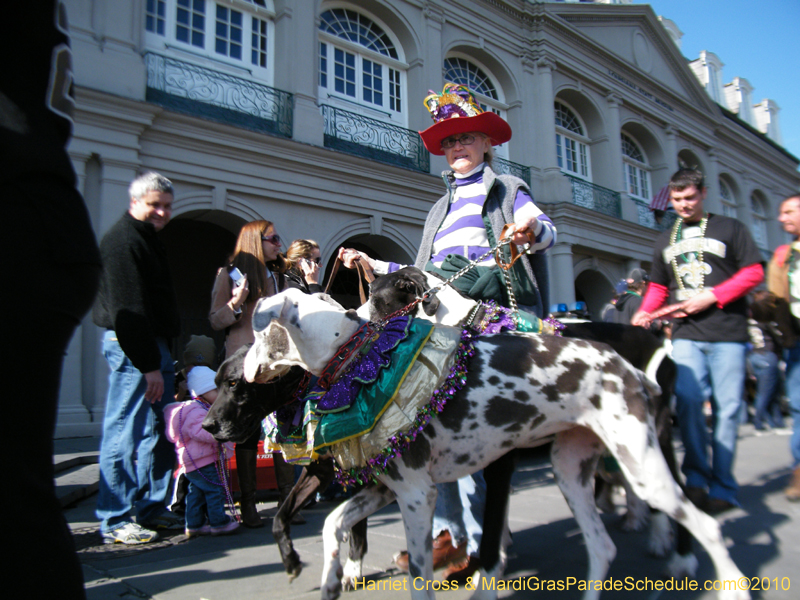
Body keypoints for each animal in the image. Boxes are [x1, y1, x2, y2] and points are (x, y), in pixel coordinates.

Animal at [244, 288, 752, 596]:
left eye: (257, 332)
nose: (239, 368)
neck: (360, 360)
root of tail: (630, 367)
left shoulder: (416, 495)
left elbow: (422, 576)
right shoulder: (385, 488)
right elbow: (333, 523)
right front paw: (331, 576)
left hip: (645, 468)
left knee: (705, 526)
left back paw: (722, 578)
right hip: (570, 470)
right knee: (601, 547)